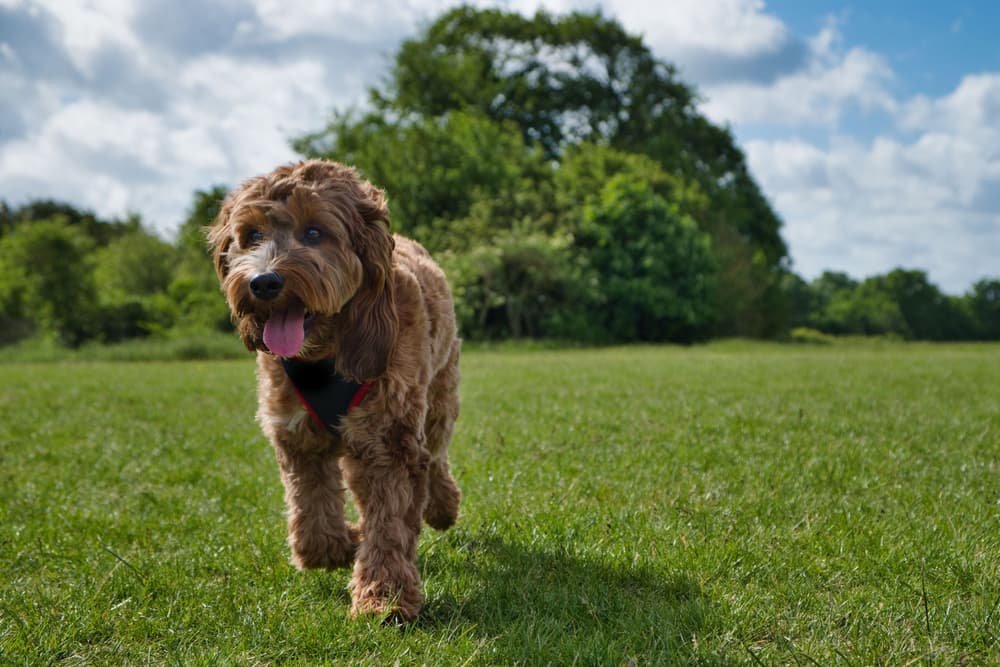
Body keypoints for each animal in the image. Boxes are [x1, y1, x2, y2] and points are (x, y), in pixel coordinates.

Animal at [210, 158, 464, 620]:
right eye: (251, 235)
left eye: (314, 232)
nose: (264, 282)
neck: (324, 354)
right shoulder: (295, 436)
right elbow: (313, 528)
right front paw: (347, 543)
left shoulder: (389, 438)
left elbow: (389, 524)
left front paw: (384, 596)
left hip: (439, 393)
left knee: (436, 454)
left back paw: (441, 506)